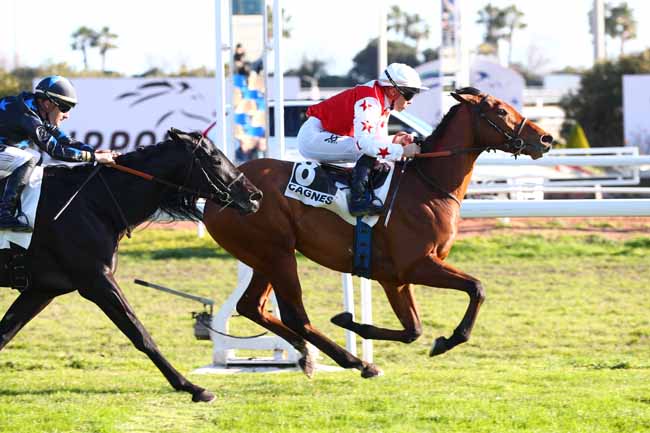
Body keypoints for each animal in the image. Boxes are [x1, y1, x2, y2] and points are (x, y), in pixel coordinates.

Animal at [0, 128, 260, 402]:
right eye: (216, 160)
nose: (255, 196)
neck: (94, 204)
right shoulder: (96, 281)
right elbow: (139, 333)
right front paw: (192, 387)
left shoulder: (43, 289)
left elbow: (5, 332)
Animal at [204, 88, 552, 378]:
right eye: (501, 110)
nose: (546, 139)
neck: (428, 186)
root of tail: (219, 193)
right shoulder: (416, 265)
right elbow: (476, 287)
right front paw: (450, 339)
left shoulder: (394, 278)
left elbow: (413, 330)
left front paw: (351, 322)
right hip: (277, 255)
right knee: (294, 315)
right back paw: (353, 361)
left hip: (265, 258)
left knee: (252, 306)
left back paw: (309, 354)